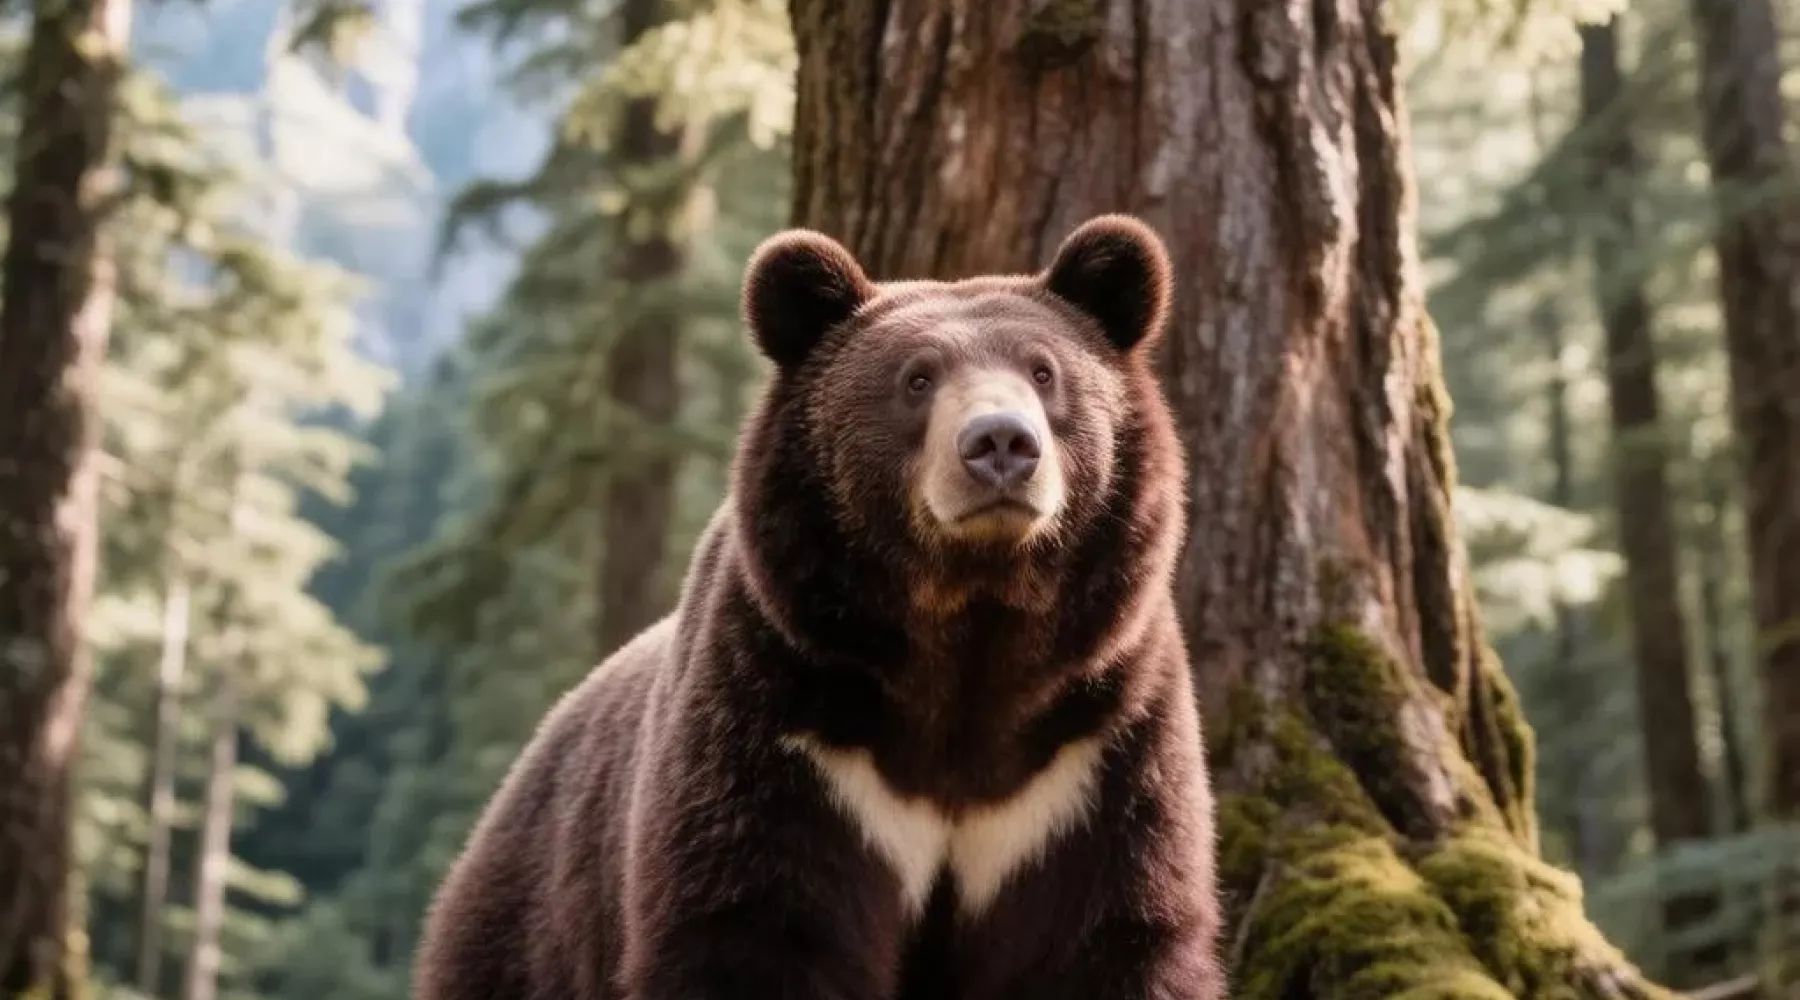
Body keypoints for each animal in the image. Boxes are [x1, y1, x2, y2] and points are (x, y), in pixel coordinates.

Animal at [411, 214, 1223, 1000]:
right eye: (917, 378)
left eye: (1044, 371)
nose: (1000, 443)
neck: (967, 632)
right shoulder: (790, 729)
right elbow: (761, 926)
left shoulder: (1088, 755)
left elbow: (1104, 937)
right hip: (529, 931)